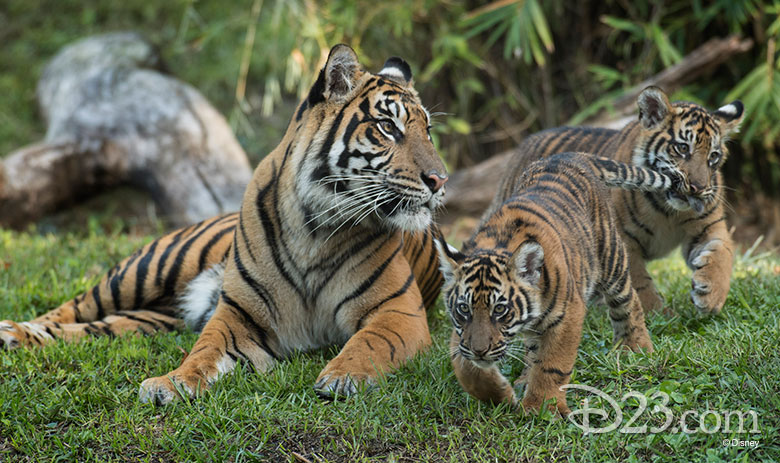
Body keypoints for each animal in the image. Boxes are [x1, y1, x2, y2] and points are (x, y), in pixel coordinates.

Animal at [0, 44, 448, 406]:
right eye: (388, 127)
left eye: (427, 130)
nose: (441, 180)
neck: (317, 227)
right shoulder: (240, 315)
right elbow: (204, 352)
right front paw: (171, 383)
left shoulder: (397, 312)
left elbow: (369, 344)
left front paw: (342, 376)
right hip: (143, 270)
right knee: (71, 308)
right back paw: (13, 331)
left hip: (150, 320)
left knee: (97, 327)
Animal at [436, 153, 672, 416]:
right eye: (463, 308)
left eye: (500, 309)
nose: (480, 351)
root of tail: (571, 155)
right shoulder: (462, 332)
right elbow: (467, 368)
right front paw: (498, 394)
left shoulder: (568, 315)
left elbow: (552, 365)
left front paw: (542, 408)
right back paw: (524, 379)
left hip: (611, 258)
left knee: (628, 301)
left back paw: (636, 348)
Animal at [490, 86, 748, 316]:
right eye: (682, 147)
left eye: (713, 156)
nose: (699, 188)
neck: (669, 211)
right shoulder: (623, 240)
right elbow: (639, 282)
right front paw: (659, 315)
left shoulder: (709, 227)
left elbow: (722, 254)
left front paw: (710, 295)